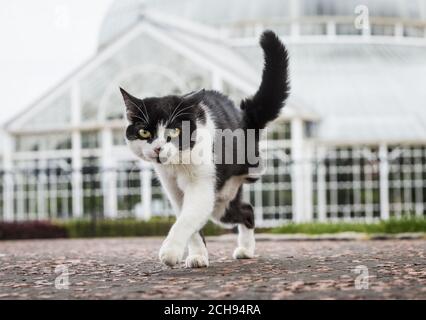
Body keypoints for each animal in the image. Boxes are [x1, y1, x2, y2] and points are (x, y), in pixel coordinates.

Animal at [121, 31, 292, 268]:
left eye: (175, 131)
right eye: (144, 132)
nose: (157, 148)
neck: (177, 165)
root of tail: (243, 116)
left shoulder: (201, 183)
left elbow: (187, 219)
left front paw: (170, 251)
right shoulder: (173, 189)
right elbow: (190, 222)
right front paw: (198, 256)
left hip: (231, 182)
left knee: (246, 206)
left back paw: (246, 249)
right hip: (223, 202)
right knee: (245, 209)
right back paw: (246, 249)